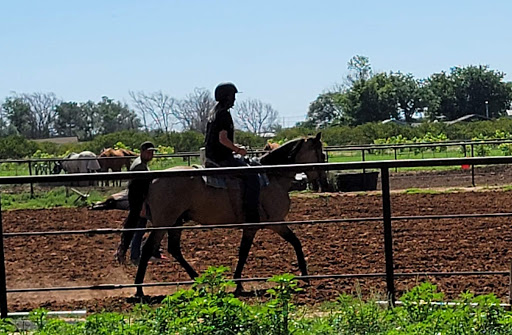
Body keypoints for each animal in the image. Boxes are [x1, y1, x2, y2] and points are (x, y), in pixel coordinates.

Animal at [130, 133, 326, 296]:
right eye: (322, 155)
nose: (319, 181)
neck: (272, 177)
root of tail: (154, 178)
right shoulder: (273, 223)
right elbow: (288, 243)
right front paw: (305, 275)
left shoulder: (263, 226)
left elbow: (250, 250)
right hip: (164, 222)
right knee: (148, 249)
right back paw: (139, 290)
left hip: (176, 221)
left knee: (174, 249)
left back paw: (198, 280)